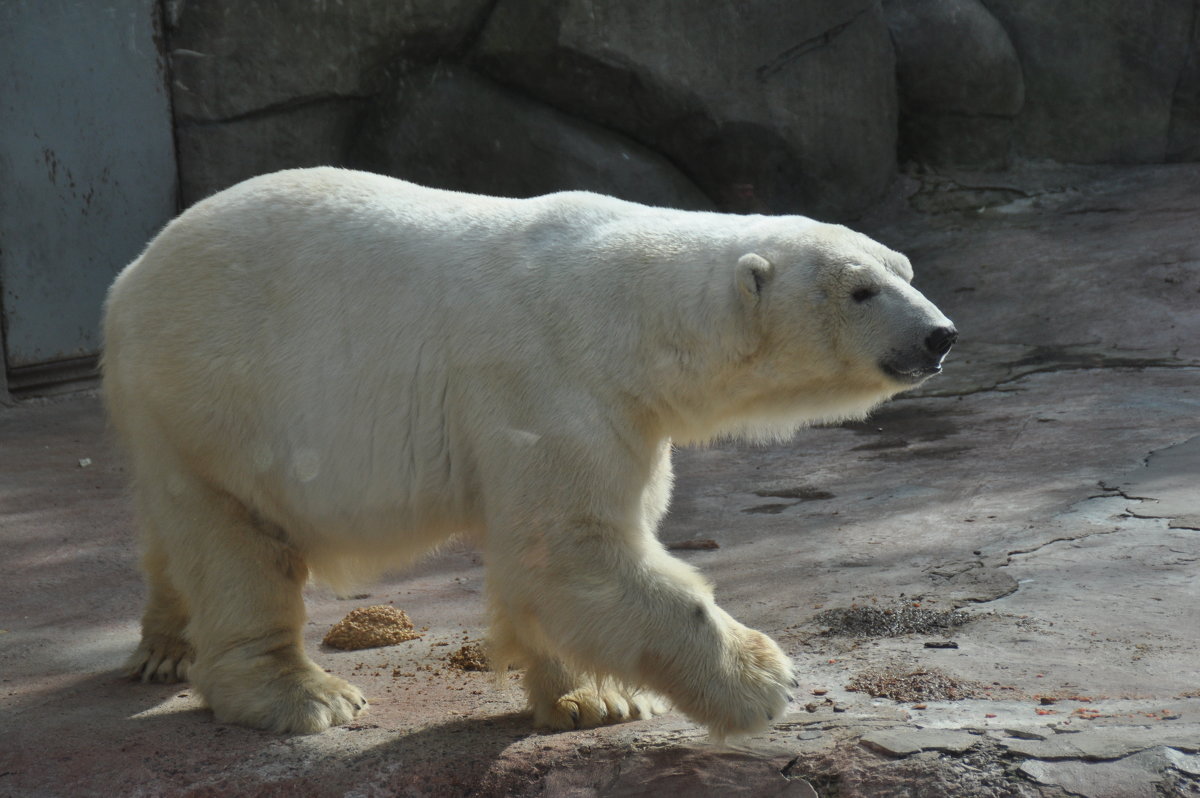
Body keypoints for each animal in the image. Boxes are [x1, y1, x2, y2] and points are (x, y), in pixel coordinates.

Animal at [103, 168, 955, 734]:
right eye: (861, 290)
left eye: (906, 270)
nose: (939, 335)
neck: (628, 311)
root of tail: (132, 274)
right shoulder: (548, 383)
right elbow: (572, 551)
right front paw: (761, 677)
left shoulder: (625, 417)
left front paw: (595, 698)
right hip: (216, 400)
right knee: (238, 543)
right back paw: (303, 696)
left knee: (173, 535)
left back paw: (163, 648)